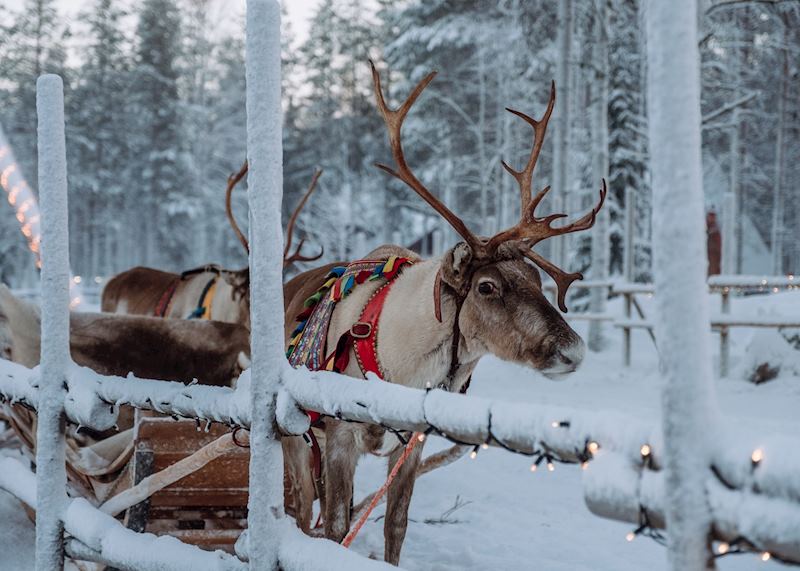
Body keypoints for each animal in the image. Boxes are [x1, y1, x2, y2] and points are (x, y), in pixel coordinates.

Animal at [281, 62, 606, 565]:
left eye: (538, 281)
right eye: (487, 286)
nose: (574, 350)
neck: (400, 364)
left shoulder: (413, 442)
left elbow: (395, 524)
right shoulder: (339, 439)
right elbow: (335, 528)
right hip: (295, 436)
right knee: (300, 506)